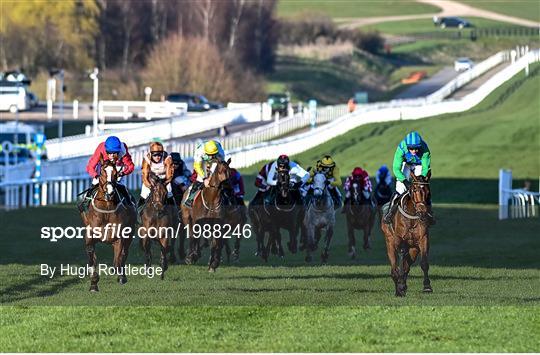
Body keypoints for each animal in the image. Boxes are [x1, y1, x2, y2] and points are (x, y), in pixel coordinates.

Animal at [79, 160, 136, 294]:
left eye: (115, 173)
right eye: (102, 172)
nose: (109, 193)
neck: (106, 211)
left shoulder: (119, 236)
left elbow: (118, 261)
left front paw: (121, 276)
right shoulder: (90, 236)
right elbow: (91, 258)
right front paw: (93, 284)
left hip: (130, 233)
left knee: (124, 253)